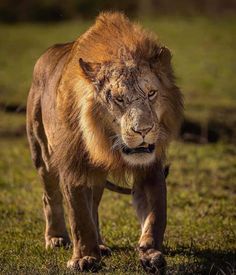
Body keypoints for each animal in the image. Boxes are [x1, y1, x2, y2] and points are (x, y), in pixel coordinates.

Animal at [26, 11, 183, 274]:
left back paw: (100, 245)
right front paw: (84, 258)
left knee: (94, 205)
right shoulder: (73, 164)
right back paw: (56, 237)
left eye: (151, 93)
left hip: (96, 175)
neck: (106, 142)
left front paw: (151, 253)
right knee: (50, 196)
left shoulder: (150, 167)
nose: (144, 130)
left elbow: (155, 214)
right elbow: (79, 217)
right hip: (42, 154)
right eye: (119, 99)